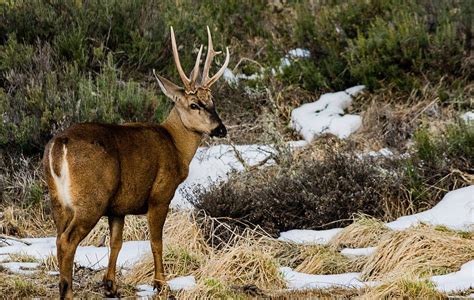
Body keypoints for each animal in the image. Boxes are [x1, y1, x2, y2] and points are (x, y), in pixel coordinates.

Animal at [41, 26, 231, 298]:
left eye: (213, 102)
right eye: (194, 104)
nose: (221, 129)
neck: (175, 145)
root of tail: (59, 145)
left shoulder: (118, 207)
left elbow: (116, 243)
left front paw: (110, 285)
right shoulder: (160, 195)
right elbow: (156, 242)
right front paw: (161, 284)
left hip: (58, 200)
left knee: (58, 238)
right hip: (92, 198)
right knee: (67, 240)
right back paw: (67, 291)